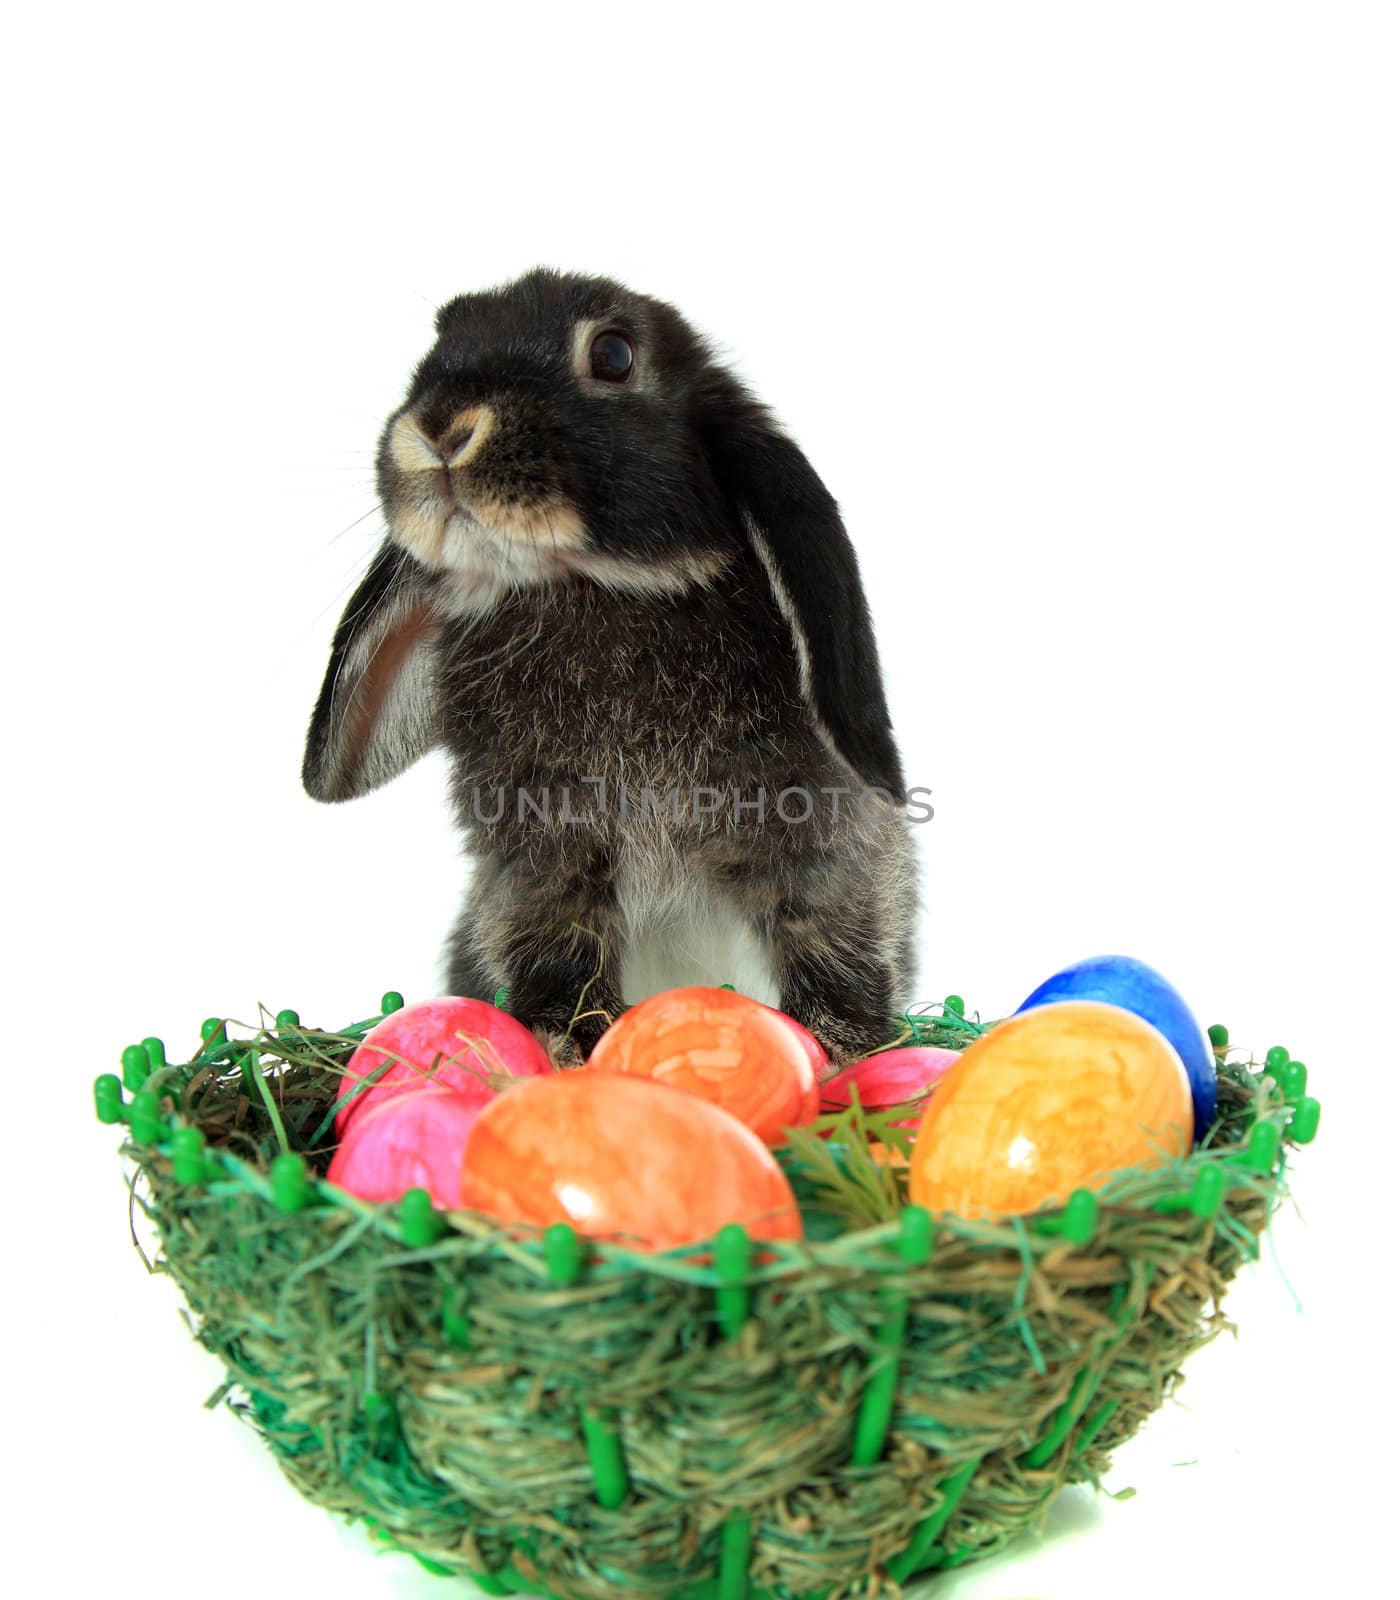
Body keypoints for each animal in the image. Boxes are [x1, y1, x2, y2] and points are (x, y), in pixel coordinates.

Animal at [304, 265, 921, 1062]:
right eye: (439, 337)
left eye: (614, 354)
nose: (440, 429)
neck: (589, 584)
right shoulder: (541, 845)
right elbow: (555, 936)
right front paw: (561, 1046)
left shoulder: (806, 816)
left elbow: (824, 920)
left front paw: (842, 1049)